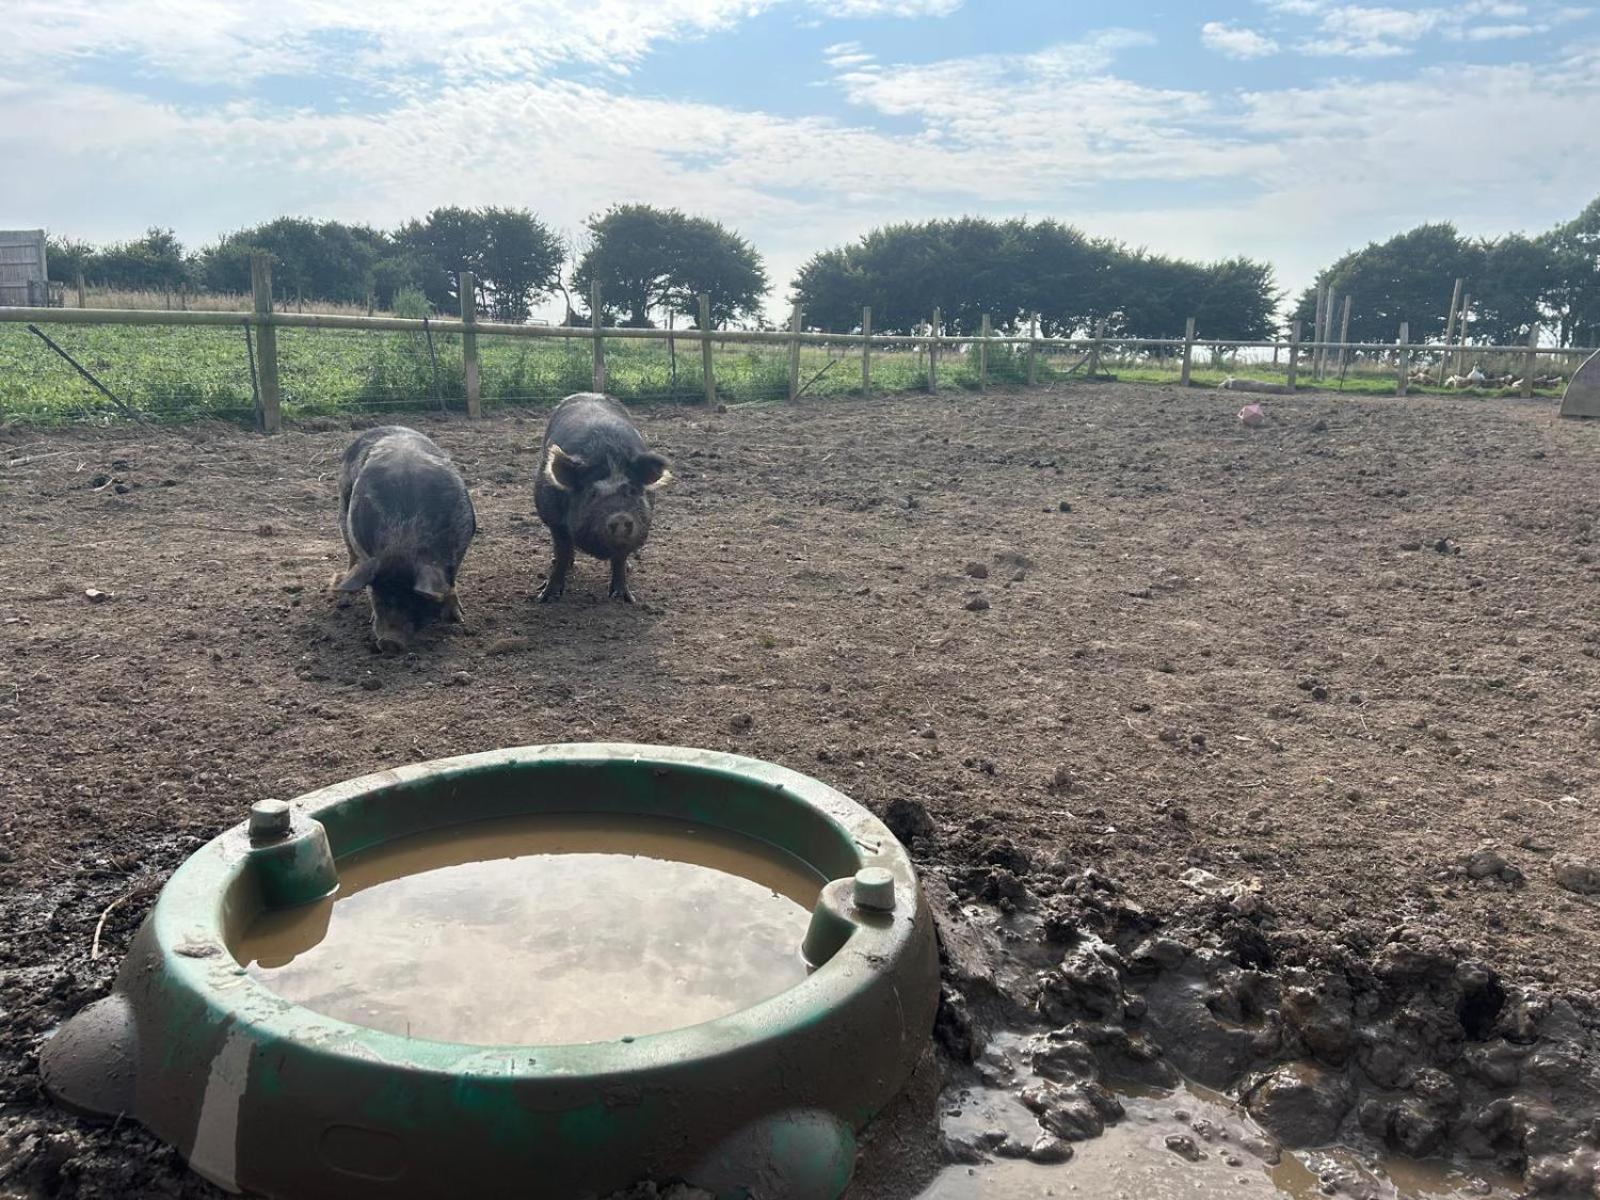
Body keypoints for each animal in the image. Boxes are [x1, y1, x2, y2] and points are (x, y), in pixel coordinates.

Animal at [328, 428, 470, 652]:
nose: (389, 642)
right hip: (343, 511)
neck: (404, 537)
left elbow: (451, 584)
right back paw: (343, 598)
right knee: (351, 558)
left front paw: (458, 619)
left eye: (415, 599)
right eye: (378, 597)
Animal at [534, 392, 665, 601]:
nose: (620, 516)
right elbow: (562, 553)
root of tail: (589, 393)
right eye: (592, 494)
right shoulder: (554, 519)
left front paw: (624, 597)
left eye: (632, 491)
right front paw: (545, 597)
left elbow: (620, 560)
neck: (609, 457)